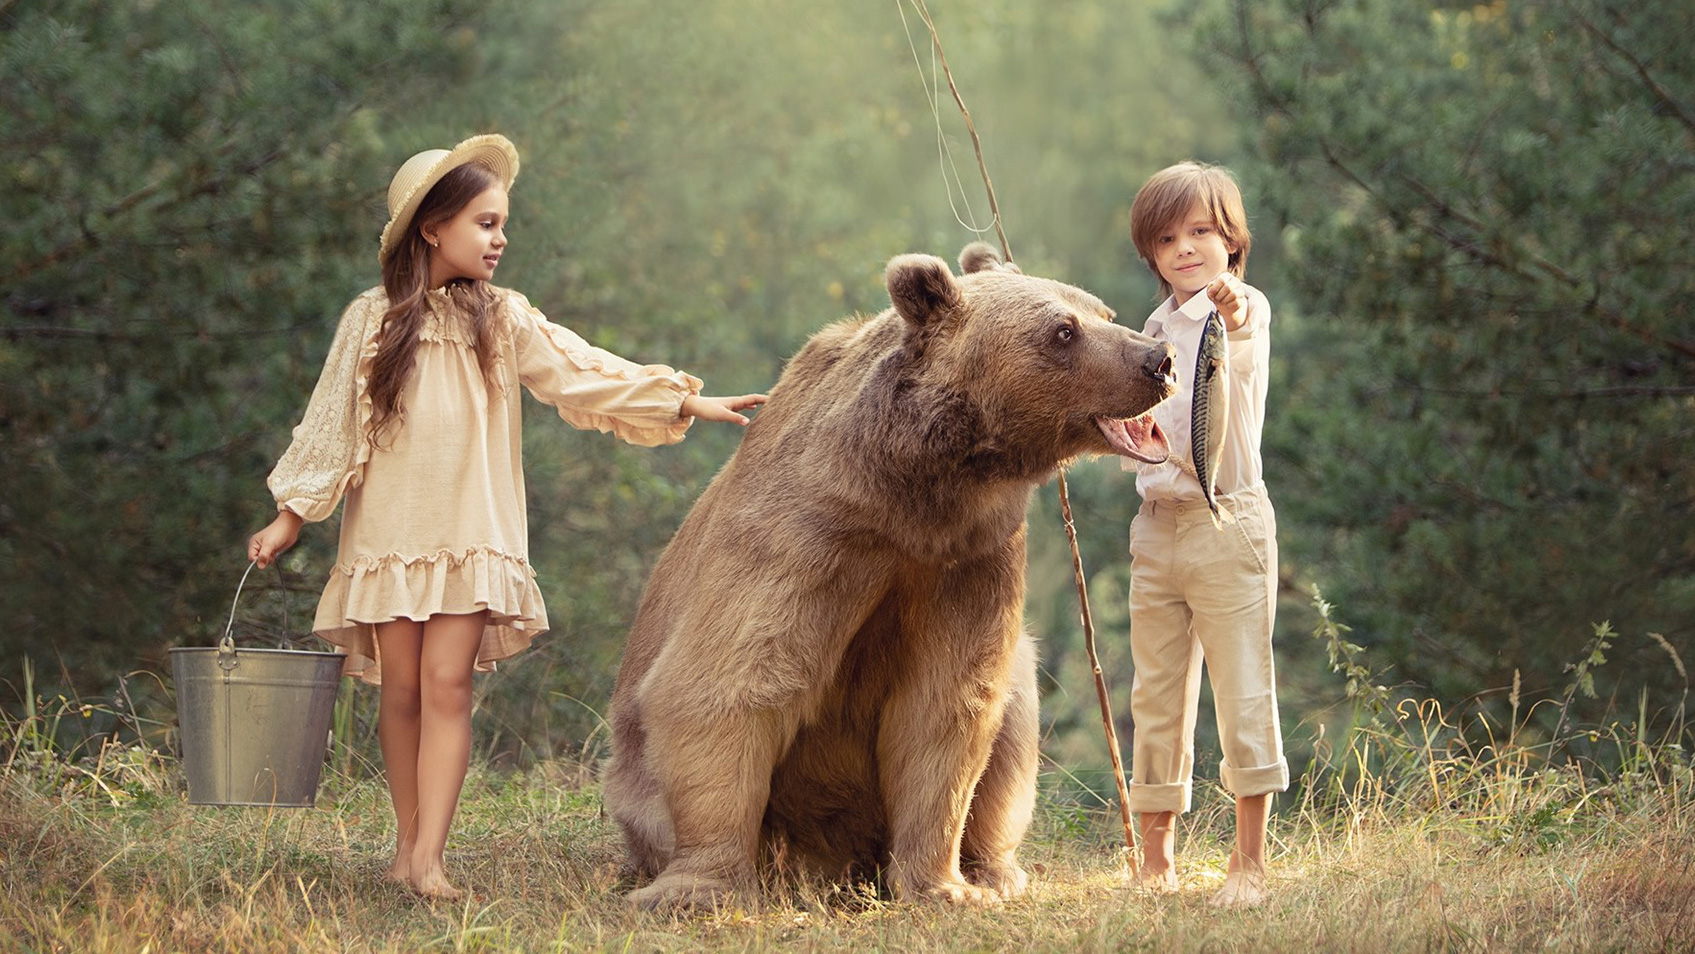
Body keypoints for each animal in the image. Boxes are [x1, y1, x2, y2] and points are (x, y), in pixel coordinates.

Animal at [603, 242, 1172, 908]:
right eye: (1064, 329)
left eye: (1105, 312)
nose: (1158, 359)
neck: (916, 492)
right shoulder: (809, 536)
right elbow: (729, 680)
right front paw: (696, 886)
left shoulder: (969, 560)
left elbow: (945, 709)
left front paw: (943, 886)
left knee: (1014, 715)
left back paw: (994, 869)